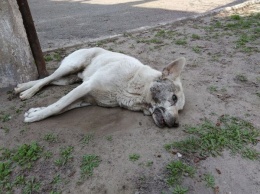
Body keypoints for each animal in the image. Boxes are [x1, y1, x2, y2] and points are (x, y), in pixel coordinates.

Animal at [14, 47, 186, 127]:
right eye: (174, 98)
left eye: (180, 110)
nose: (176, 124)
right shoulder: (85, 87)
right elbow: (57, 106)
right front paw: (36, 116)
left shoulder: (85, 99)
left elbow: (60, 107)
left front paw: (35, 111)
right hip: (71, 67)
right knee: (47, 79)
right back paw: (27, 92)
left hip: (68, 80)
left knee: (48, 80)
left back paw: (21, 87)